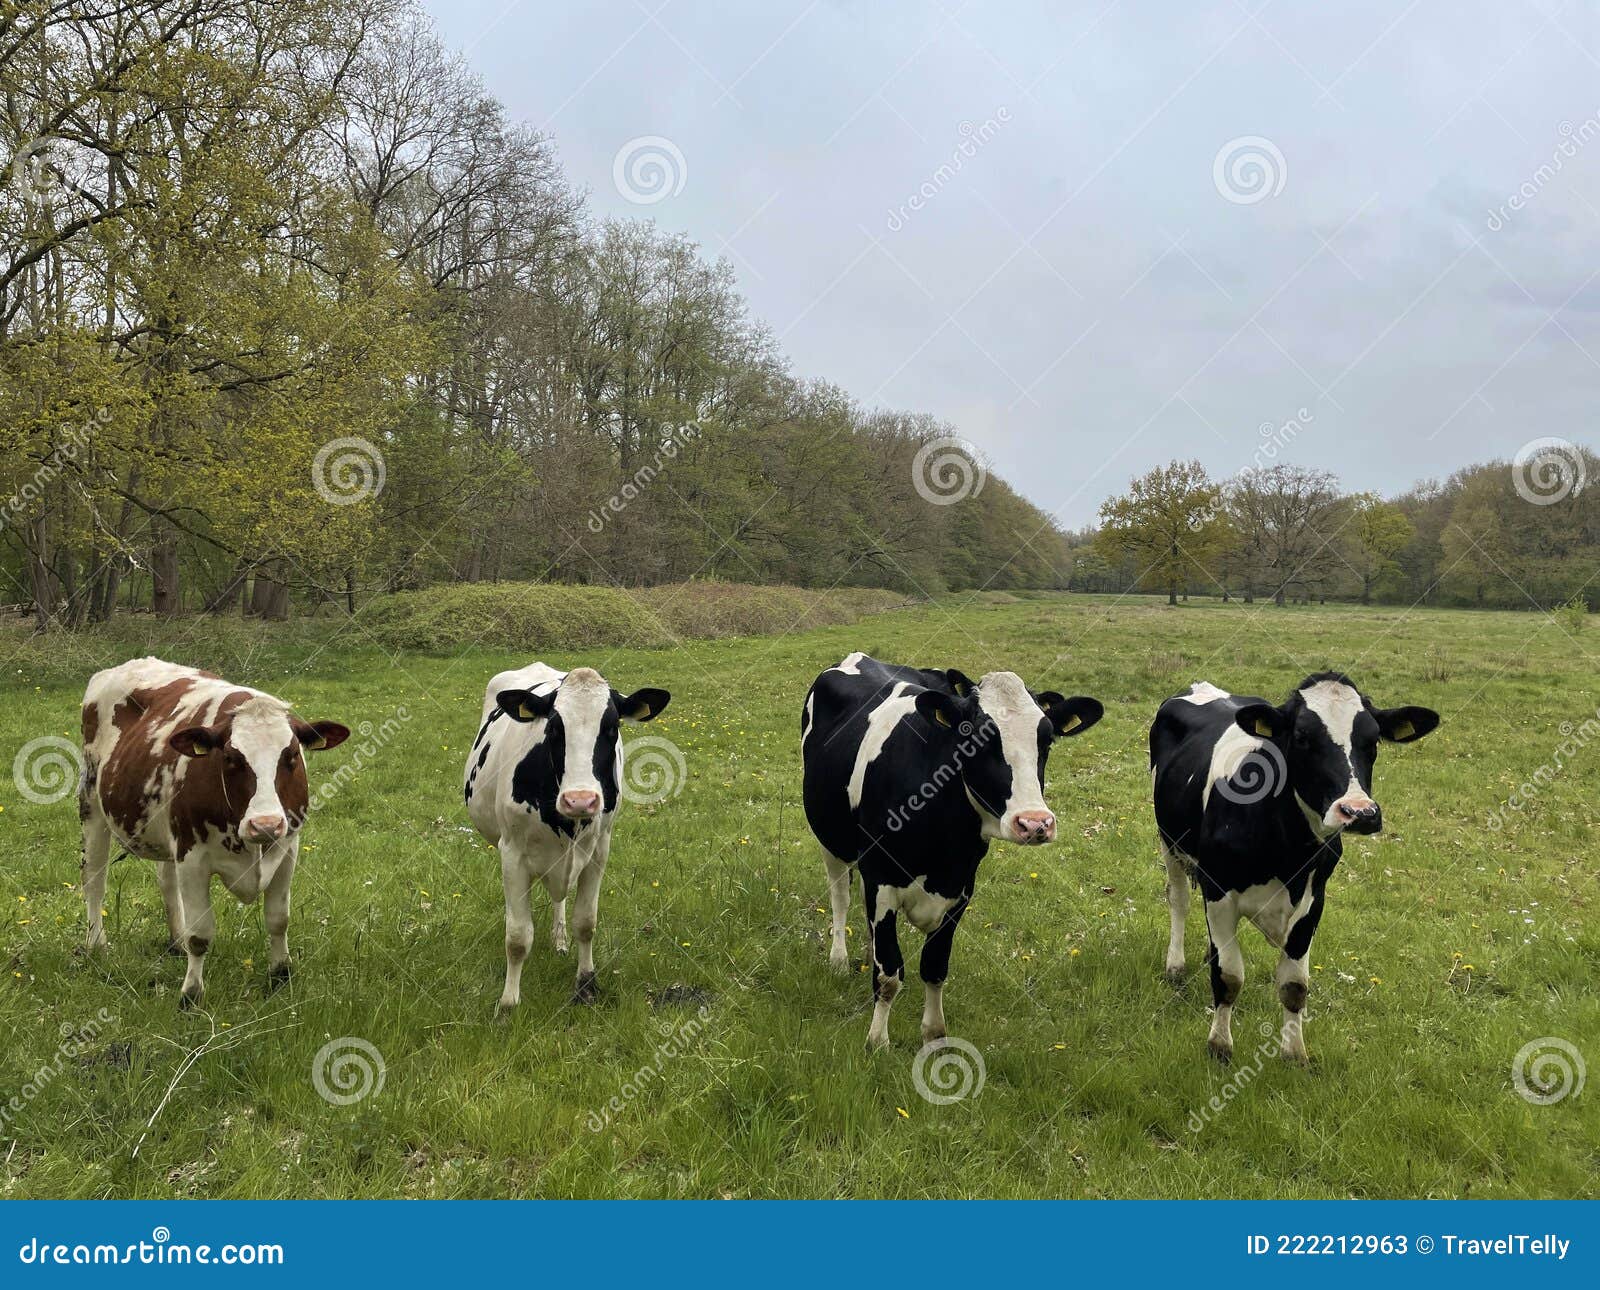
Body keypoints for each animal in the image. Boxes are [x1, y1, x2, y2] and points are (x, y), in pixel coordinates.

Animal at [79, 658, 349, 1007]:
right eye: (232, 758)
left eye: (291, 755)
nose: (265, 824)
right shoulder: (192, 858)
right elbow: (201, 935)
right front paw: (191, 995)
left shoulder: (288, 848)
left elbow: (278, 919)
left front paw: (280, 975)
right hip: (91, 803)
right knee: (94, 880)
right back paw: (96, 944)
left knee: (166, 881)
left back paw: (175, 941)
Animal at [463, 663, 670, 1013]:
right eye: (554, 728)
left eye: (612, 726)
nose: (580, 800)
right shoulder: (512, 853)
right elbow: (517, 936)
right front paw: (508, 1003)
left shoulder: (599, 851)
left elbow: (585, 923)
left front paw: (586, 986)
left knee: (559, 897)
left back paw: (559, 939)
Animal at [801, 652, 1104, 1050]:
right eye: (971, 737)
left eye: (1047, 741)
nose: (1035, 823)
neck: (943, 847)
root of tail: (860, 657)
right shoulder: (882, 879)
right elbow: (889, 974)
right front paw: (877, 1041)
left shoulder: (960, 889)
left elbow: (934, 967)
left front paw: (934, 1036)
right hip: (830, 838)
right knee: (840, 896)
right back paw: (838, 959)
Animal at [1150, 673, 1440, 1064]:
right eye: (1302, 737)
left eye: (1373, 739)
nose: (1359, 811)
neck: (1287, 851)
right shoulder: (1219, 891)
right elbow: (1229, 976)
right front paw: (1220, 1046)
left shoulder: (1314, 900)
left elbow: (1293, 985)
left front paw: (1294, 1053)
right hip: (1170, 843)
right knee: (1178, 900)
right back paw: (1175, 965)